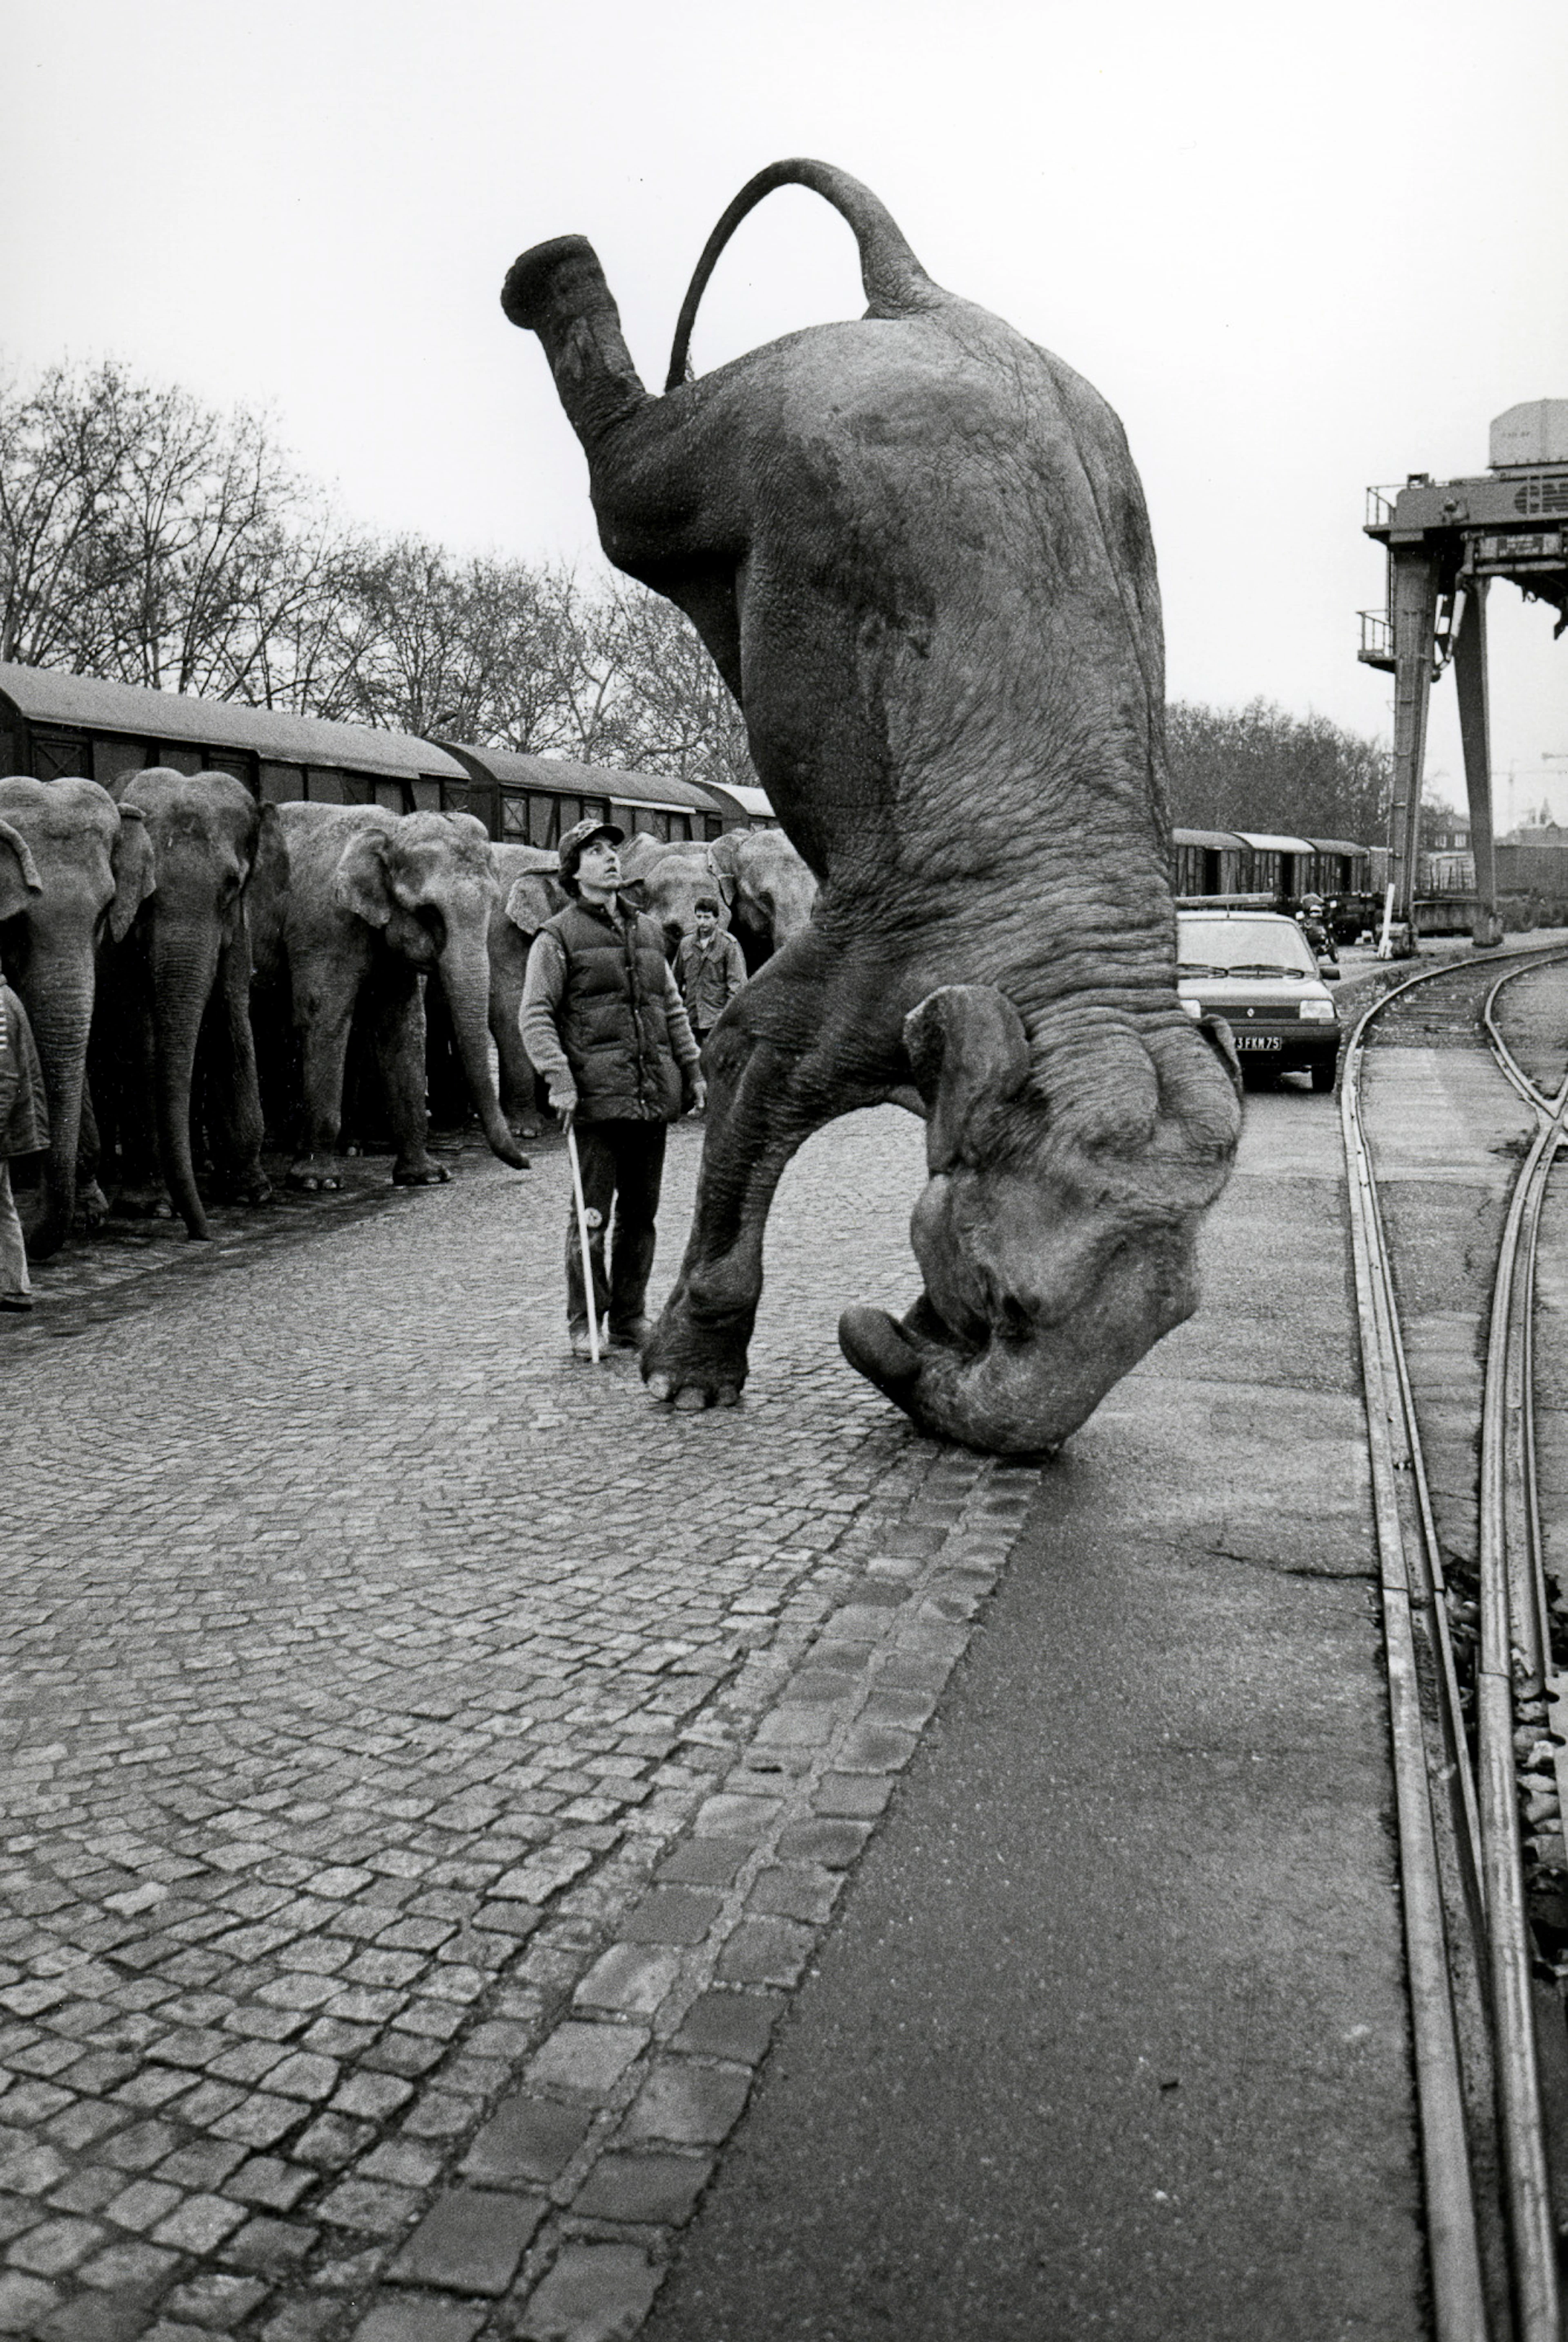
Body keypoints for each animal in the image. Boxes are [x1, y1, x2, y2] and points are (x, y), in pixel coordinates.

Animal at [99, 768, 279, 1239]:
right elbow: (141, 1035)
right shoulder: (120, 940)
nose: (203, 1233)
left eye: (232, 885)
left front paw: (251, 1194)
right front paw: (151, 1207)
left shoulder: (238, 928)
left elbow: (231, 1015)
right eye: (147, 892)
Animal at [247, 801, 531, 1191]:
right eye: (429, 912)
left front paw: (427, 1176)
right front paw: (317, 1182)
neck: (390, 830)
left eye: (493, 905)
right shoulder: (324, 925)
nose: (527, 1163)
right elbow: (324, 1017)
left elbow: (403, 1026)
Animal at [503, 158, 1241, 1455]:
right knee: (629, 483)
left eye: (1178, 1323)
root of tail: (918, 291)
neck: (1092, 979)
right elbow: (748, 1060)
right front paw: (687, 1386)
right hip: (730, 439)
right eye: (1005, 1299)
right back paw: (547, 270)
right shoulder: (868, 951)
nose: (887, 1331)